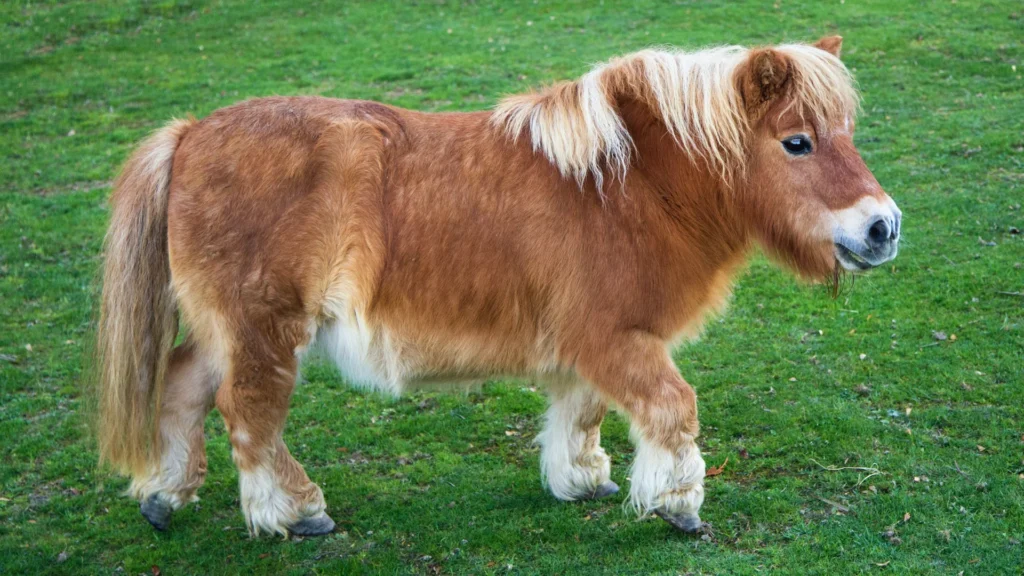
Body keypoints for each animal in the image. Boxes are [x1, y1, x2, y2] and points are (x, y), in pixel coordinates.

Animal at [94, 35, 901, 537]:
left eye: (847, 132)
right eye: (796, 142)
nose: (883, 228)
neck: (628, 186)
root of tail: (190, 134)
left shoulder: (590, 347)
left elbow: (582, 412)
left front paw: (582, 480)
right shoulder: (617, 337)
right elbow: (674, 409)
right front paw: (677, 505)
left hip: (225, 330)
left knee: (183, 388)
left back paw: (164, 496)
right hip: (263, 329)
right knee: (249, 414)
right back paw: (293, 513)